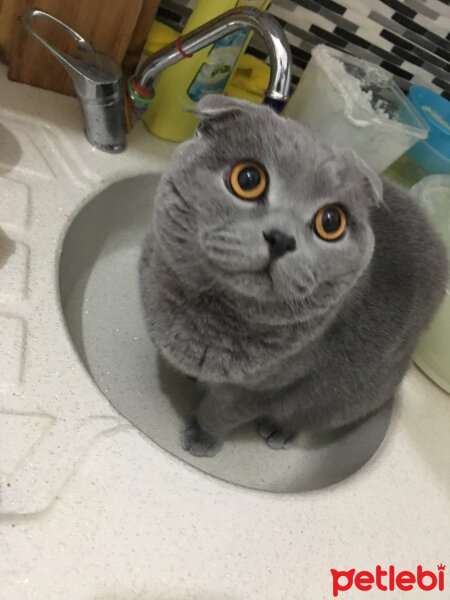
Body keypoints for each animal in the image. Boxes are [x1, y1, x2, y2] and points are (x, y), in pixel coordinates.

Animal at [139, 96, 448, 458]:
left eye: (331, 222)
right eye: (248, 179)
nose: (281, 239)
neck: (207, 309)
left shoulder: (266, 389)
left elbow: (222, 411)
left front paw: (202, 435)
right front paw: (190, 378)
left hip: (348, 395)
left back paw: (280, 430)